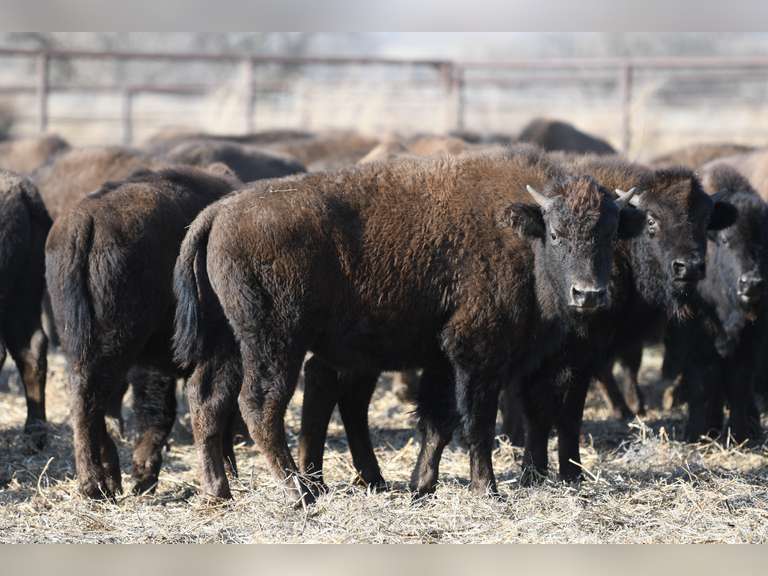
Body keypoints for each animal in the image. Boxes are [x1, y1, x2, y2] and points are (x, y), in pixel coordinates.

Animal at [173, 145, 644, 503]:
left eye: (609, 234)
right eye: (557, 235)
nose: (588, 294)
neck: (521, 234)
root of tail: (218, 212)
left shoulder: (443, 358)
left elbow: (438, 421)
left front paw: (422, 485)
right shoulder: (476, 354)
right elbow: (476, 421)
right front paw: (486, 488)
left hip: (230, 344)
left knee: (207, 400)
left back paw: (220, 491)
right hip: (273, 343)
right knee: (260, 405)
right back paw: (298, 492)